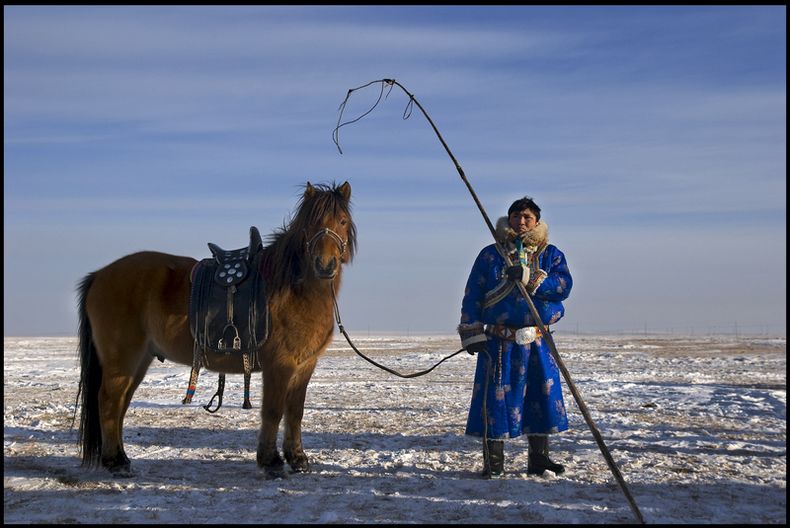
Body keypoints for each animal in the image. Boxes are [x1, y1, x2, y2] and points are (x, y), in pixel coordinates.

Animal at [74, 182, 358, 478]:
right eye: (311, 224)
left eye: (342, 220)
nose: (325, 265)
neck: (295, 289)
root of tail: (99, 275)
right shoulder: (280, 365)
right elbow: (272, 412)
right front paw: (271, 462)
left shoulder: (304, 366)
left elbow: (295, 412)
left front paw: (298, 458)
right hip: (122, 358)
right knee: (109, 401)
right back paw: (115, 462)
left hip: (139, 360)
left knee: (121, 404)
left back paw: (121, 457)